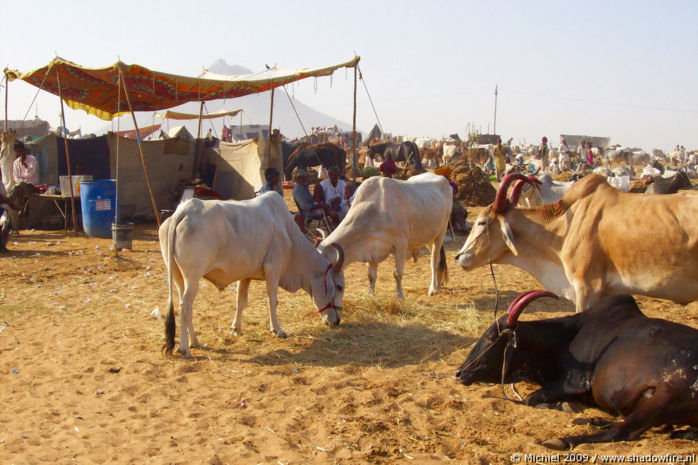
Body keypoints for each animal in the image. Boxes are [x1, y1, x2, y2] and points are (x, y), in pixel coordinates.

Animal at [158, 191, 342, 356]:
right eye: (337, 287)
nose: (337, 321)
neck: (287, 230)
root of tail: (185, 210)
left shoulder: (245, 275)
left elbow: (240, 301)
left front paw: (236, 328)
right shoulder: (273, 269)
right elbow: (272, 301)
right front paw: (277, 330)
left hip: (179, 277)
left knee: (185, 306)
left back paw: (195, 341)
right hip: (193, 278)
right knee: (185, 306)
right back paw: (184, 348)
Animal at [316, 171, 452, 298]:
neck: (375, 210)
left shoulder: (401, 245)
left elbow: (397, 274)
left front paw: (400, 297)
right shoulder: (371, 250)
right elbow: (371, 276)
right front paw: (371, 296)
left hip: (441, 232)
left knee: (435, 260)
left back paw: (433, 288)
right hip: (429, 236)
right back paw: (438, 284)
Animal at [456, 292, 696, 448]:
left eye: (491, 337)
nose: (460, 373)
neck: (566, 338)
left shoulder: (574, 383)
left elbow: (529, 399)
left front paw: (562, 406)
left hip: (664, 396)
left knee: (623, 431)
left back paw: (562, 440)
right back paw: (593, 420)